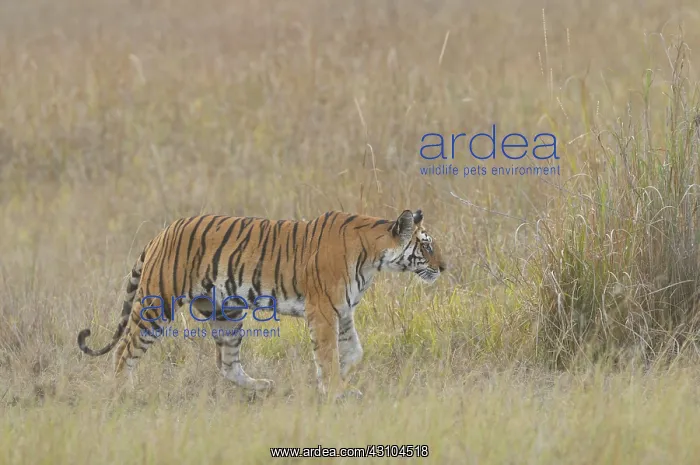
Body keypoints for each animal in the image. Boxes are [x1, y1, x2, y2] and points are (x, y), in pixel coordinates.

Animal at [77, 209, 446, 400]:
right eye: (427, 247)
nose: (445, 267)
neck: (373, 255)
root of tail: (161, 233)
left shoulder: (343, 312)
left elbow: (353, 352)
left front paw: (341, 382)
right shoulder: (323, 311)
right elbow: (328, 354)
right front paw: (333, 389)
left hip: (226, 313)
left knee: (226, 363)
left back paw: (261, 386)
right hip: (158, 304)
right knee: (125, 350)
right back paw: (123, 393)